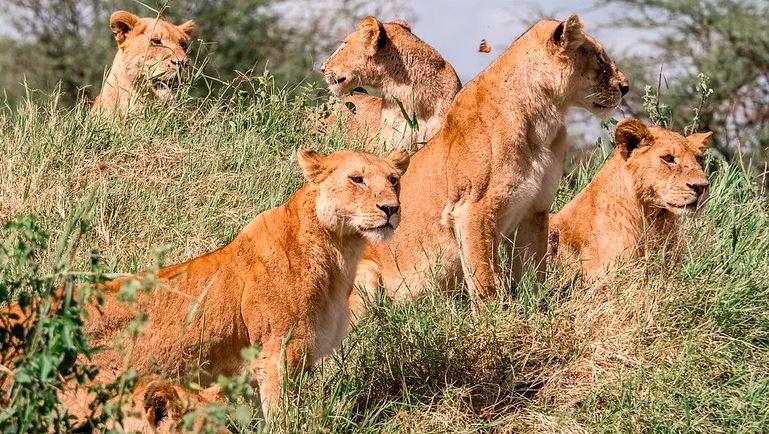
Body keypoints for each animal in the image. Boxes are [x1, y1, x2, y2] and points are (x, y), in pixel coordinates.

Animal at [354, 16, 629, 309]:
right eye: (599, 57)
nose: (625, 87)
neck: (543, 119)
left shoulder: (535, 209)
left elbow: (532, 271)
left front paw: (535, 308)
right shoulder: (471, 209)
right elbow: (484, 276)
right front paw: (494, 316)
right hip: (365, 275)